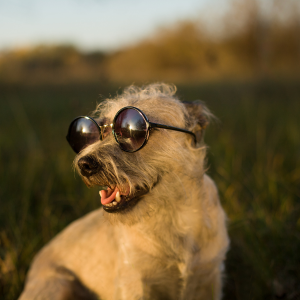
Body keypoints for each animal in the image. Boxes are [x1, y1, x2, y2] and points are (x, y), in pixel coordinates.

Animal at [18, 83, 229, 298]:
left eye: (132, 132)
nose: (84, 164)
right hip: (58, 285)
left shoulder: (209, 278)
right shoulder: (134, 282)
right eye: (97, 132)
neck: (173, 214)